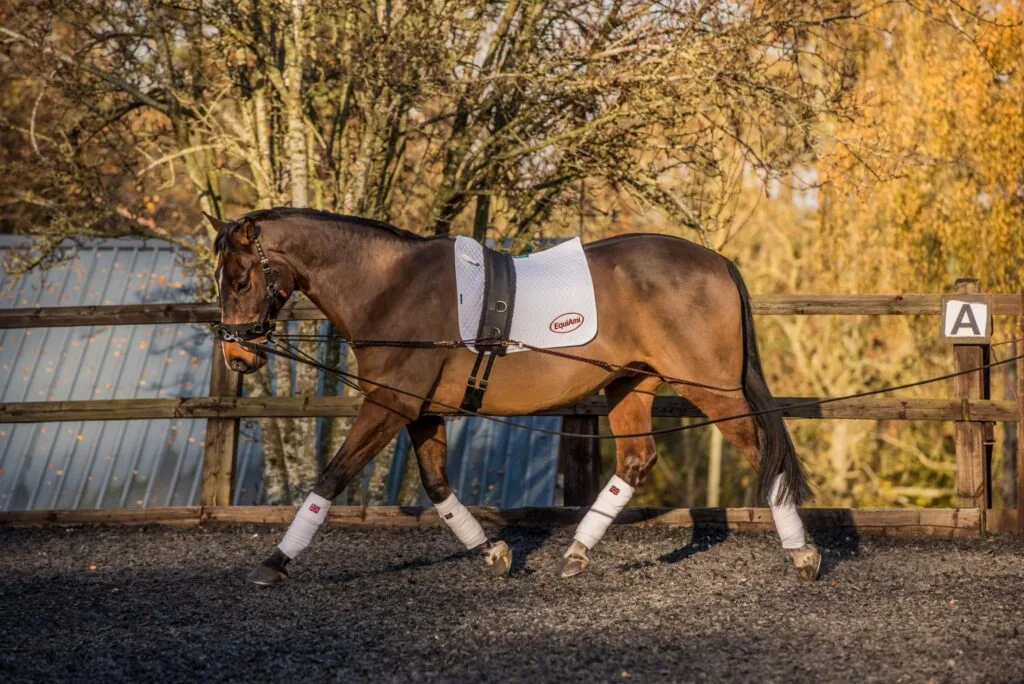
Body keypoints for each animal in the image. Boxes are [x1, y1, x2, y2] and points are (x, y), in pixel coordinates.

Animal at [209, 207, 822, 585]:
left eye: (239, 280)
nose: (237, 357)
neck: (390, 289)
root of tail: (716, 260)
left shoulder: (389, 405)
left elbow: (332, 477)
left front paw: (275, 562)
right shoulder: (420, 410)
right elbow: (437, 485)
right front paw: (492, 552)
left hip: (711, 387)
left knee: (761, 452)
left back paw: (802, 553)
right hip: (631, 382)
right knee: (635, 459)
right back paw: (576, 553)